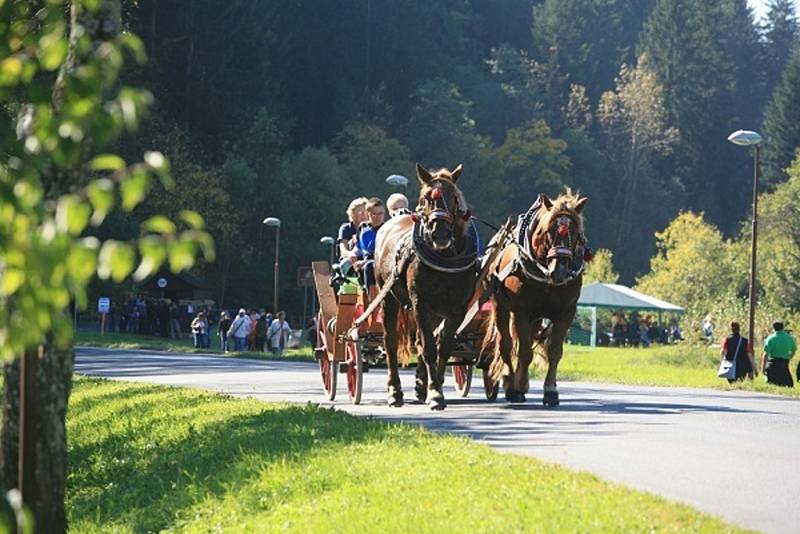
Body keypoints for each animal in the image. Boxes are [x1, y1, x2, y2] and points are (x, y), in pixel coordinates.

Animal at [374, 163, 478, 410]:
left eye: (453, 198)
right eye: (425, 198)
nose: (440, 233)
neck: (445, 257)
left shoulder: (457, 309)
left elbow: (442, 348)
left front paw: (434, 385)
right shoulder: (421, 303)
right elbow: (430, 348)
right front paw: (436, 393)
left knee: (422, 341)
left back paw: (421, 385)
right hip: (388, 298)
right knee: (390, 342)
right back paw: (395, 392)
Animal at [482, 192, 588, 406]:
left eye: (575, 233)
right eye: (548, 230)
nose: (559, 271)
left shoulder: (566, 312)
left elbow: (554, 352)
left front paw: (550, 390)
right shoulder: (521, 311)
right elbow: (524, 352)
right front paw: (518, 386)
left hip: (535, 318)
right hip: (501, 307)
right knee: (506, 345)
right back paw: (510, 382)